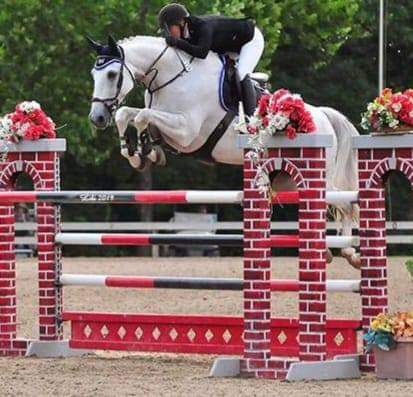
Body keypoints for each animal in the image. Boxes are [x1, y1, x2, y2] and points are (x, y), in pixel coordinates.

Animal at [88, 35, 358, 268]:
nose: (97, 118)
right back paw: (326, 251)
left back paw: (349, 252)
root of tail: (322, 115)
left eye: (112, 74)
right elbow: (127, 114)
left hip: (315, 174)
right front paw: (139, 154)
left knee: (344, 203)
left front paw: (145, 148)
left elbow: (142, 116)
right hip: (287, 180)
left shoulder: (186, 132)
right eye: (94, 74)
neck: (169, 78)